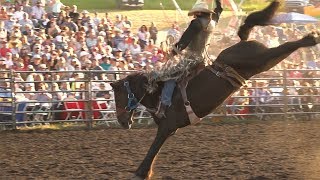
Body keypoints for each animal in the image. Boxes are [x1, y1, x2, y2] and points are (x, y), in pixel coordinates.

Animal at [109, 1, 320, 179]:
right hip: (264, 63)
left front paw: (140, 173)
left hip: (260, 57)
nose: (122, 121)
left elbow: (153, 148)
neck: (158, 93)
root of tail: (242, 42)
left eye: (118, 97)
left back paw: (311, 39)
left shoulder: (167, 126)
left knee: (286, 45)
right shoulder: (170, 129)